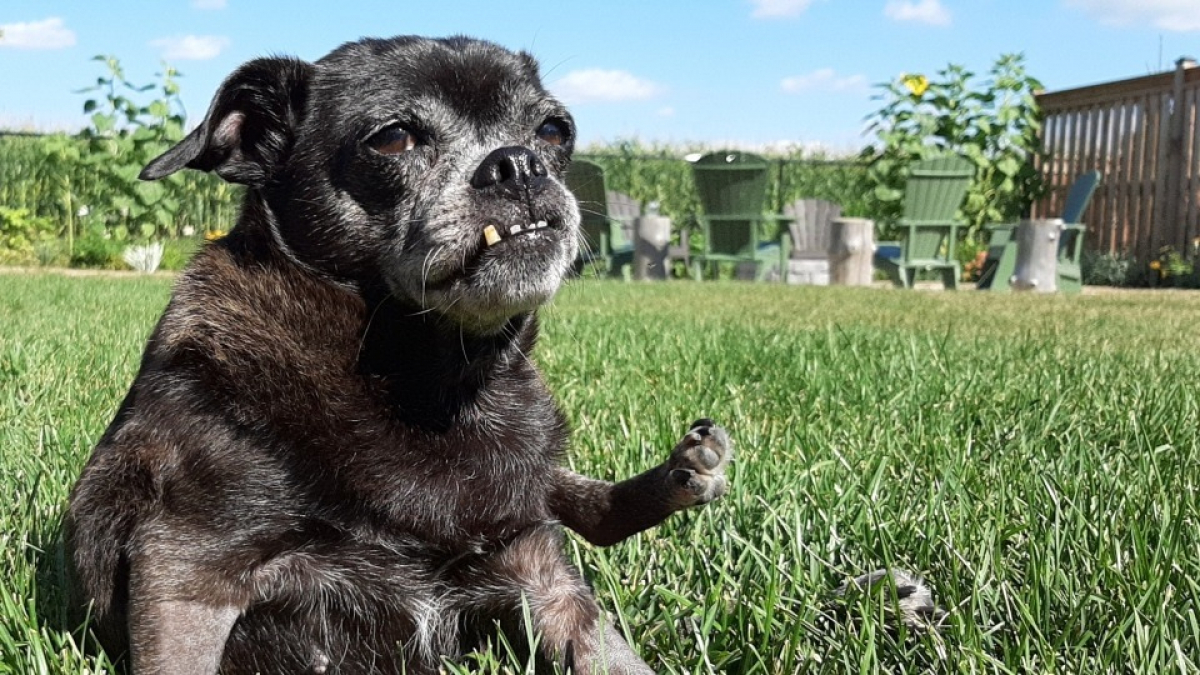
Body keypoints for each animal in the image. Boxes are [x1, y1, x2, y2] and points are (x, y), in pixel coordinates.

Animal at [70, 36, 734, 672]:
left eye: (553, 130)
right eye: (393, 138)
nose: (518, 163)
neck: (433, 381)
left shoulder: (547, 580)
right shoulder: (186, 573)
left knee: (577, 501)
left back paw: (681, 473)